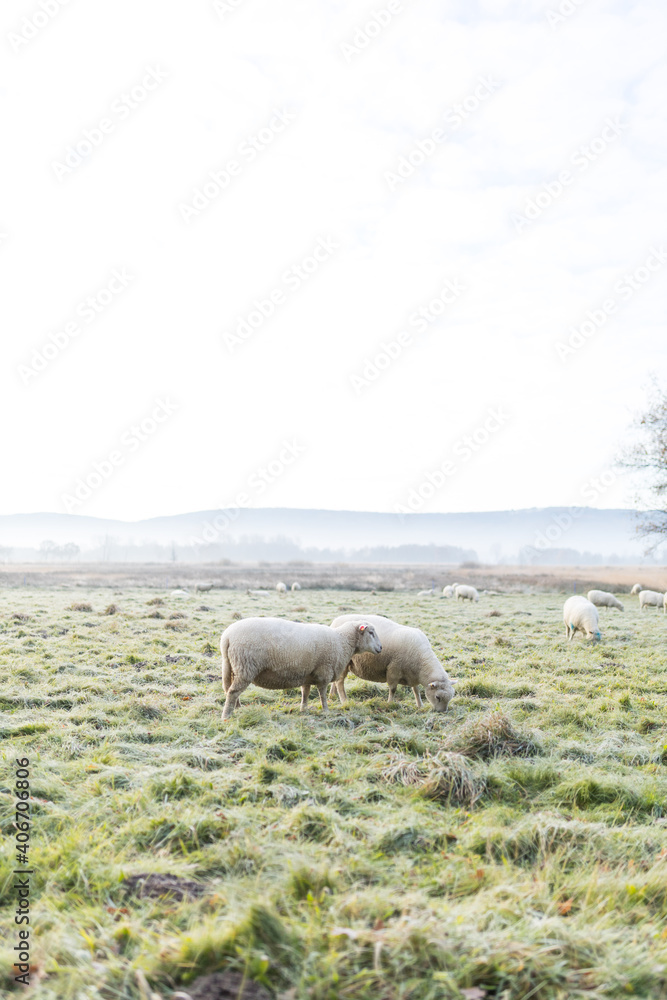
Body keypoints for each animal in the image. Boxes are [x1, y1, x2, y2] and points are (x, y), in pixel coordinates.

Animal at [220, 616, 380, 720]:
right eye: (371, 632)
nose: (381, 648)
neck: (342, 641)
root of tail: (227, 637)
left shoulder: (307, 674)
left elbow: (305, 693)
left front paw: (303, 709)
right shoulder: (324, 672)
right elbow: (322, 694)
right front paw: (326, 711)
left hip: (232, 666)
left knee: (230, 690)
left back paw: (237, 708)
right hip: (245, 666)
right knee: (233, 692)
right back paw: (226, 716)